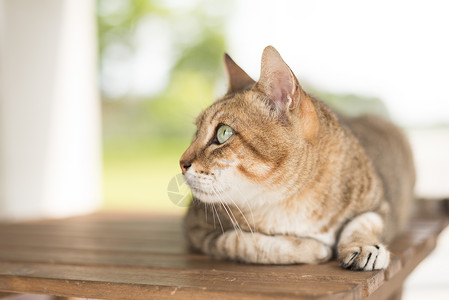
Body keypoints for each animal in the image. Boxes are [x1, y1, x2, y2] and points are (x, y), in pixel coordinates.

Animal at [178, 45, 412, 270]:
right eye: (196, 131)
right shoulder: (198, 228)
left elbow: (362, 222)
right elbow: (245, 242)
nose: (181, 163)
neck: (293, 200)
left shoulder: (382, 205)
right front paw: (315, 248)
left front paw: (364, 247)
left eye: (223, 132)